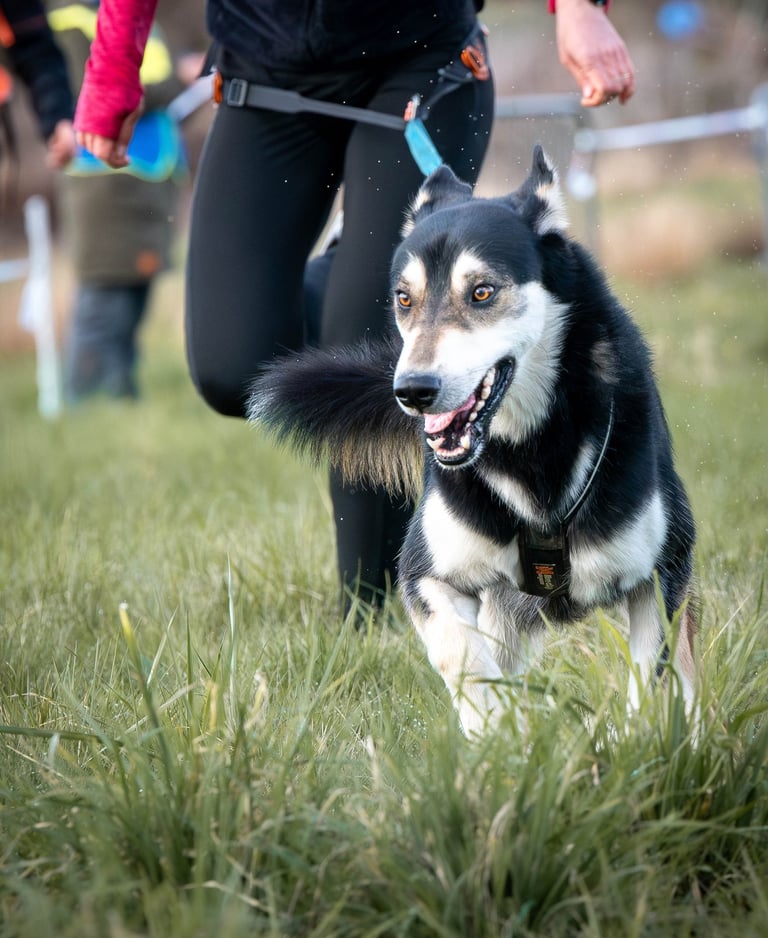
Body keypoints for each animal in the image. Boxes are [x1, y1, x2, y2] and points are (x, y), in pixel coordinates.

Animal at [248, 146, 697, 735]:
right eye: (404, 299)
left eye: (482, 292)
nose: (413, 391)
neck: (531, 453)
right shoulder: (425, 574)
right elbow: (463, 658)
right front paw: (498, 734)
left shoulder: (660, 577)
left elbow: (651, 685)